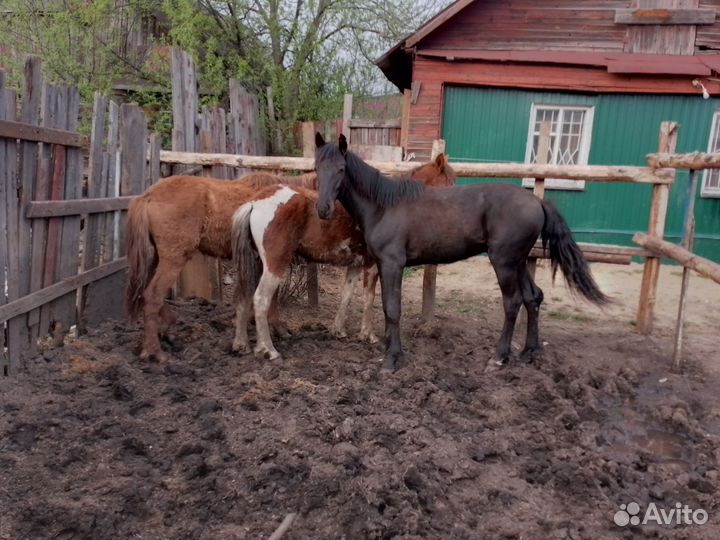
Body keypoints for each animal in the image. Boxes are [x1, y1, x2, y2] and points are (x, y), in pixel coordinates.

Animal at [229, 155, 456, 360]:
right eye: (449, 185)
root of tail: (256, 203)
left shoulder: (355, 265)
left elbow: (346, 296)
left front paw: (338, 330)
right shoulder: (373, 265)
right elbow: (369, 298)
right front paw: (368, 335)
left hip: (257, 264)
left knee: (243, 297)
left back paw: (241, 344)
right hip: (275, 265)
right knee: (260, 300)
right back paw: (269, 350)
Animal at [313, 133, 609, 371]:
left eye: (341, 169)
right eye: (317, 168)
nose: (323, 209)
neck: (384, 206)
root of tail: (537, 201)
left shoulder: (392, 264)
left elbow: (393, 309)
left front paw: (392, 360)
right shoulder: (383, 265)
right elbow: (387, 307)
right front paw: (389, 351)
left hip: (504, 262)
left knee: (513, 302)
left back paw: (498, 357)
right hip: (520, 262)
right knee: (533, 297)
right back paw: (529, 352)